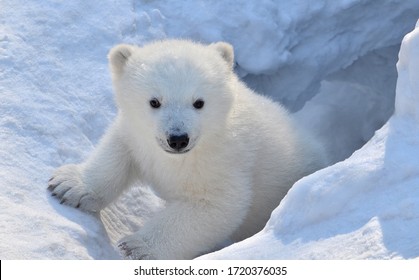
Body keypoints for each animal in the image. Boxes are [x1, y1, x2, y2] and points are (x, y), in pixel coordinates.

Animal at [48, 38, 328, 258]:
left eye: (198, 102)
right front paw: (68, 186)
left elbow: (216, 205)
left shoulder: (226, 160)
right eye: (154, 101)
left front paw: (138, 247)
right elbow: (118, 150)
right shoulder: (138, 136)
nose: (178, 138)